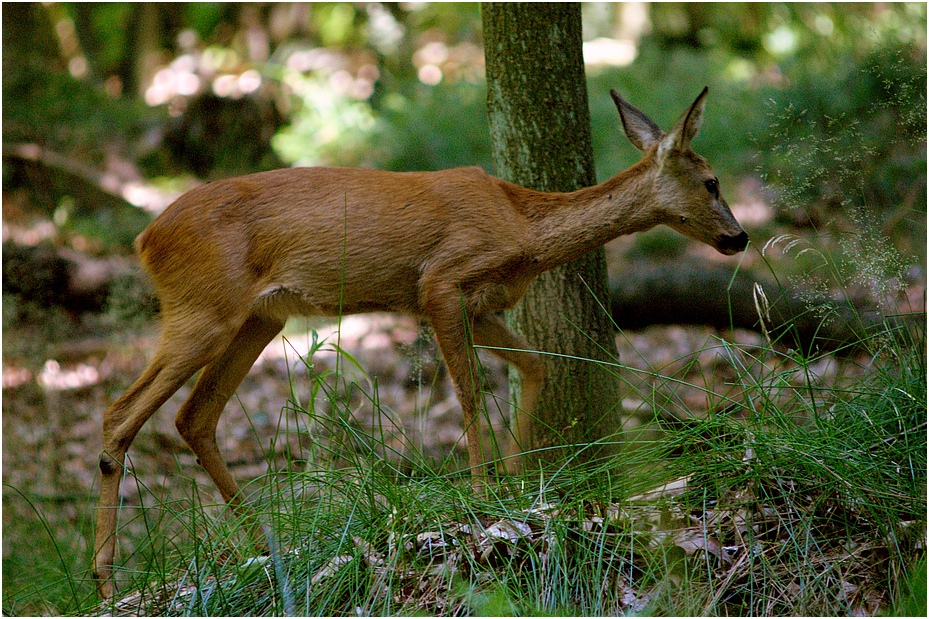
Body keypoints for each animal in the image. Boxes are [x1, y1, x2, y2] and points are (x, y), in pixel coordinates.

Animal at [92, 87, 748, 596]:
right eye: (712, 181)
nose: (739, 237)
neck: (524, 227)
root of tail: (144, 239)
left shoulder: (478, 305)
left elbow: (534, 366)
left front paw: (518, 486)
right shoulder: (439, 282)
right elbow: (469, 391)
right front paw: (484, 500)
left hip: (259, 317)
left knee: (193, 416)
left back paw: (263, 545)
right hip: (203, 309)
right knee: (121, 411)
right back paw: (104, 578)